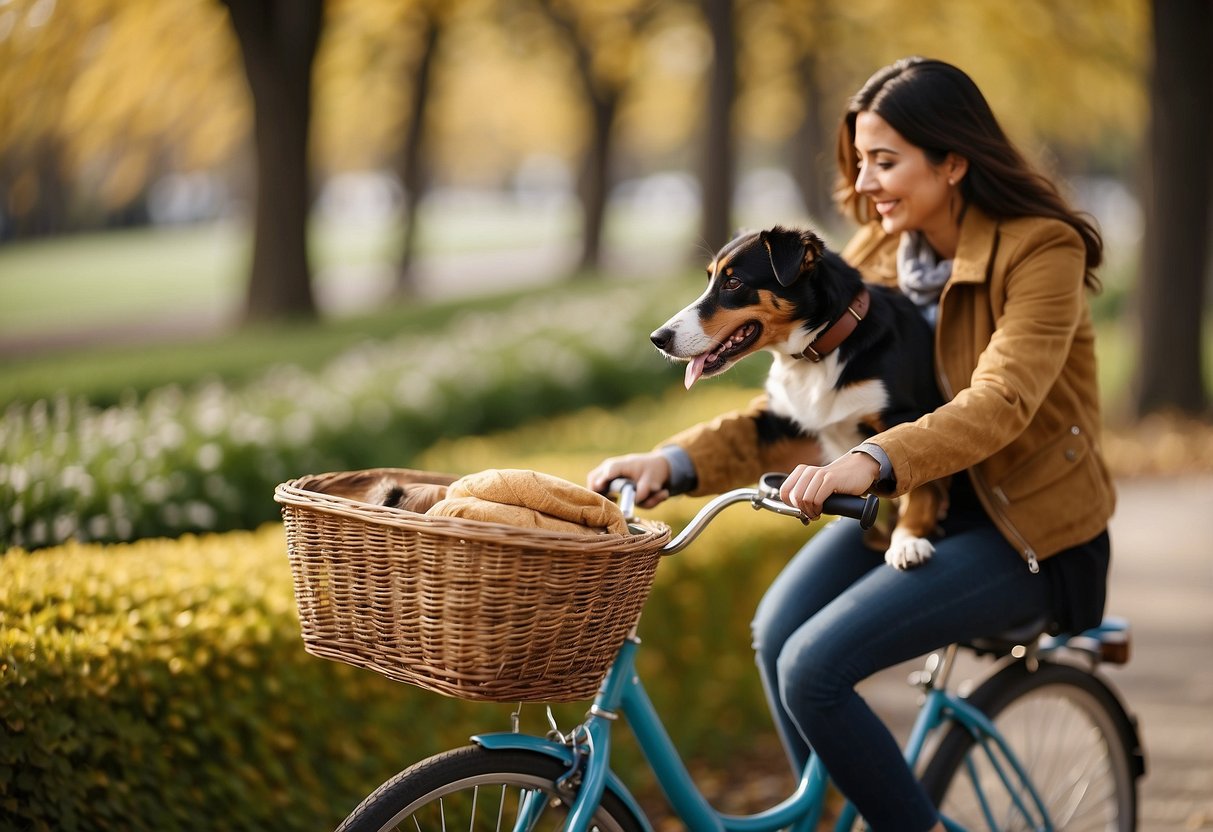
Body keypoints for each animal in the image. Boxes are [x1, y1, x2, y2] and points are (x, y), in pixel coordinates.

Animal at [655, 224, 946, 570]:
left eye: (733, 282)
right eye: (709, 279)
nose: (658, 338)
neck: (818, 354)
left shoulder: (904, 416)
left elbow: (918, 484)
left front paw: (907, 540)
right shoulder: (780, 421)